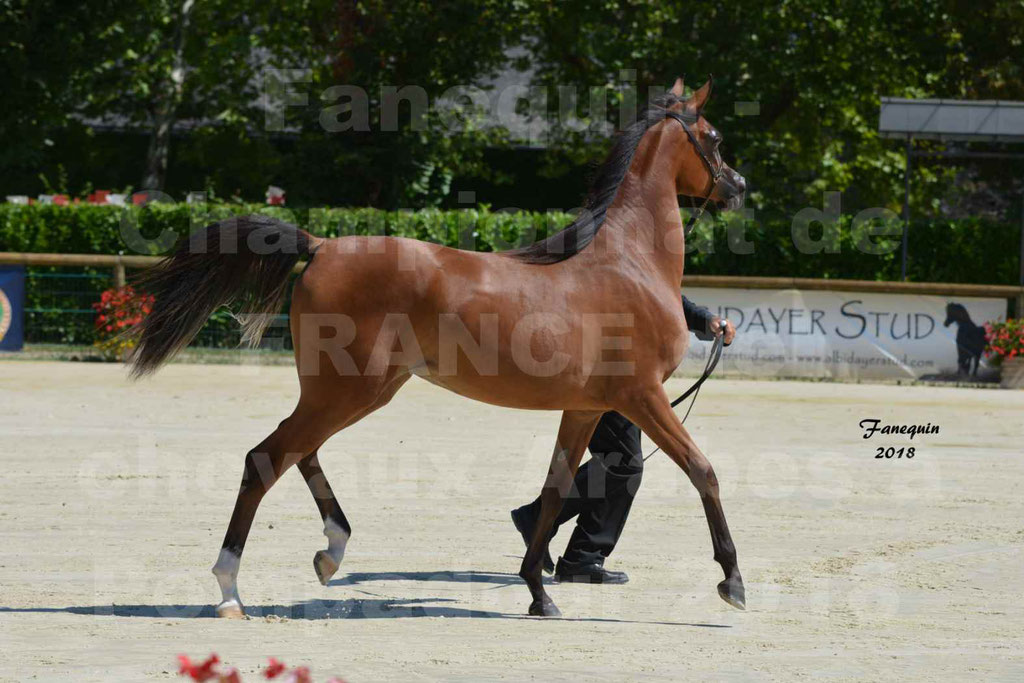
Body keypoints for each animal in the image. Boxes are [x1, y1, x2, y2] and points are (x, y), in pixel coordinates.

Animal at [132, 77, 749, 618]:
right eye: (715, 137)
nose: (738, 187)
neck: (628, 263)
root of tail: (322, 244)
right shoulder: (641, 396)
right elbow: (704, 470)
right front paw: (733, 583)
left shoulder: (584, 408)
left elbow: (554, 492)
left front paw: (538, 593)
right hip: (349, 389)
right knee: (266, 459)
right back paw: (231, 591)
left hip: (355, 390)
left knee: (299, 452)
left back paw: (331, 552)